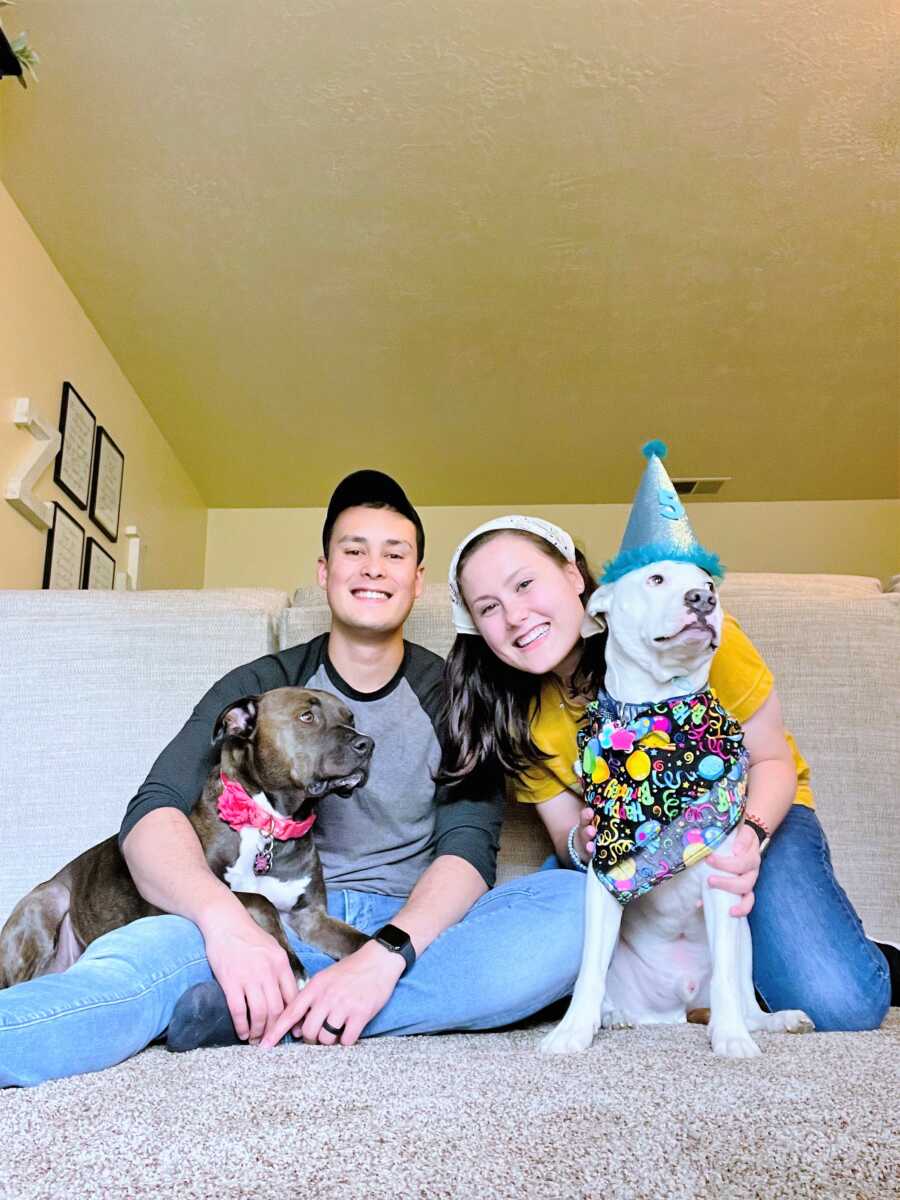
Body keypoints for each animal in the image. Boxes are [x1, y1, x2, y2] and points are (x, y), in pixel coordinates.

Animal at [0, 691, 374, 988]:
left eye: (350, 717)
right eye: (306, 717)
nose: (367, 744)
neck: (269, 823)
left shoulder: (312, 918)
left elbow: (361, 942)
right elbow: (258, 900)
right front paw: (294, 967)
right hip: (47, 903)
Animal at [542, 561, 816, 1060]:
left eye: (708, 585)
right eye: (655, 580)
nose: (703, 600)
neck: (656, 715)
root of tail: (674, 1009)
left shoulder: (723, 885)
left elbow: (726, 982)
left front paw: (731, 1038)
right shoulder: (605, 880)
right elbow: (588, 972)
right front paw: (571, 1032)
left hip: (743, 939)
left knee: (744, 1000)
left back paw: (773, 1021)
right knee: (609, 990)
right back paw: (612, 1016)